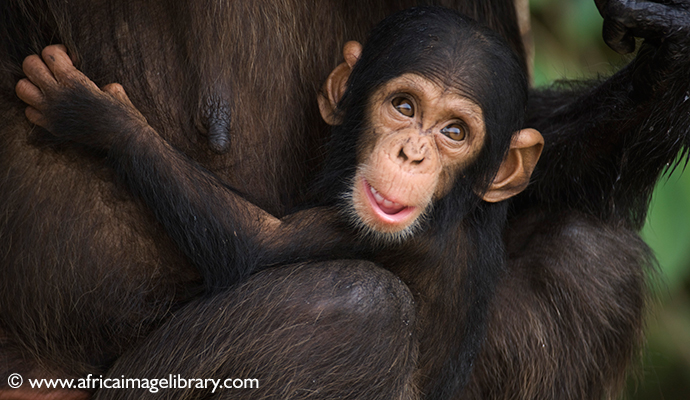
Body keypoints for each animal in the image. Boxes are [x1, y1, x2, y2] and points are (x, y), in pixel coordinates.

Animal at [1, 0, 688, 400]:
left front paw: (95, 116)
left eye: (454, 133)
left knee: (365, 307)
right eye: (404, 106)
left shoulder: (376, 229)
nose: (412, 154)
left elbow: (259, 242)